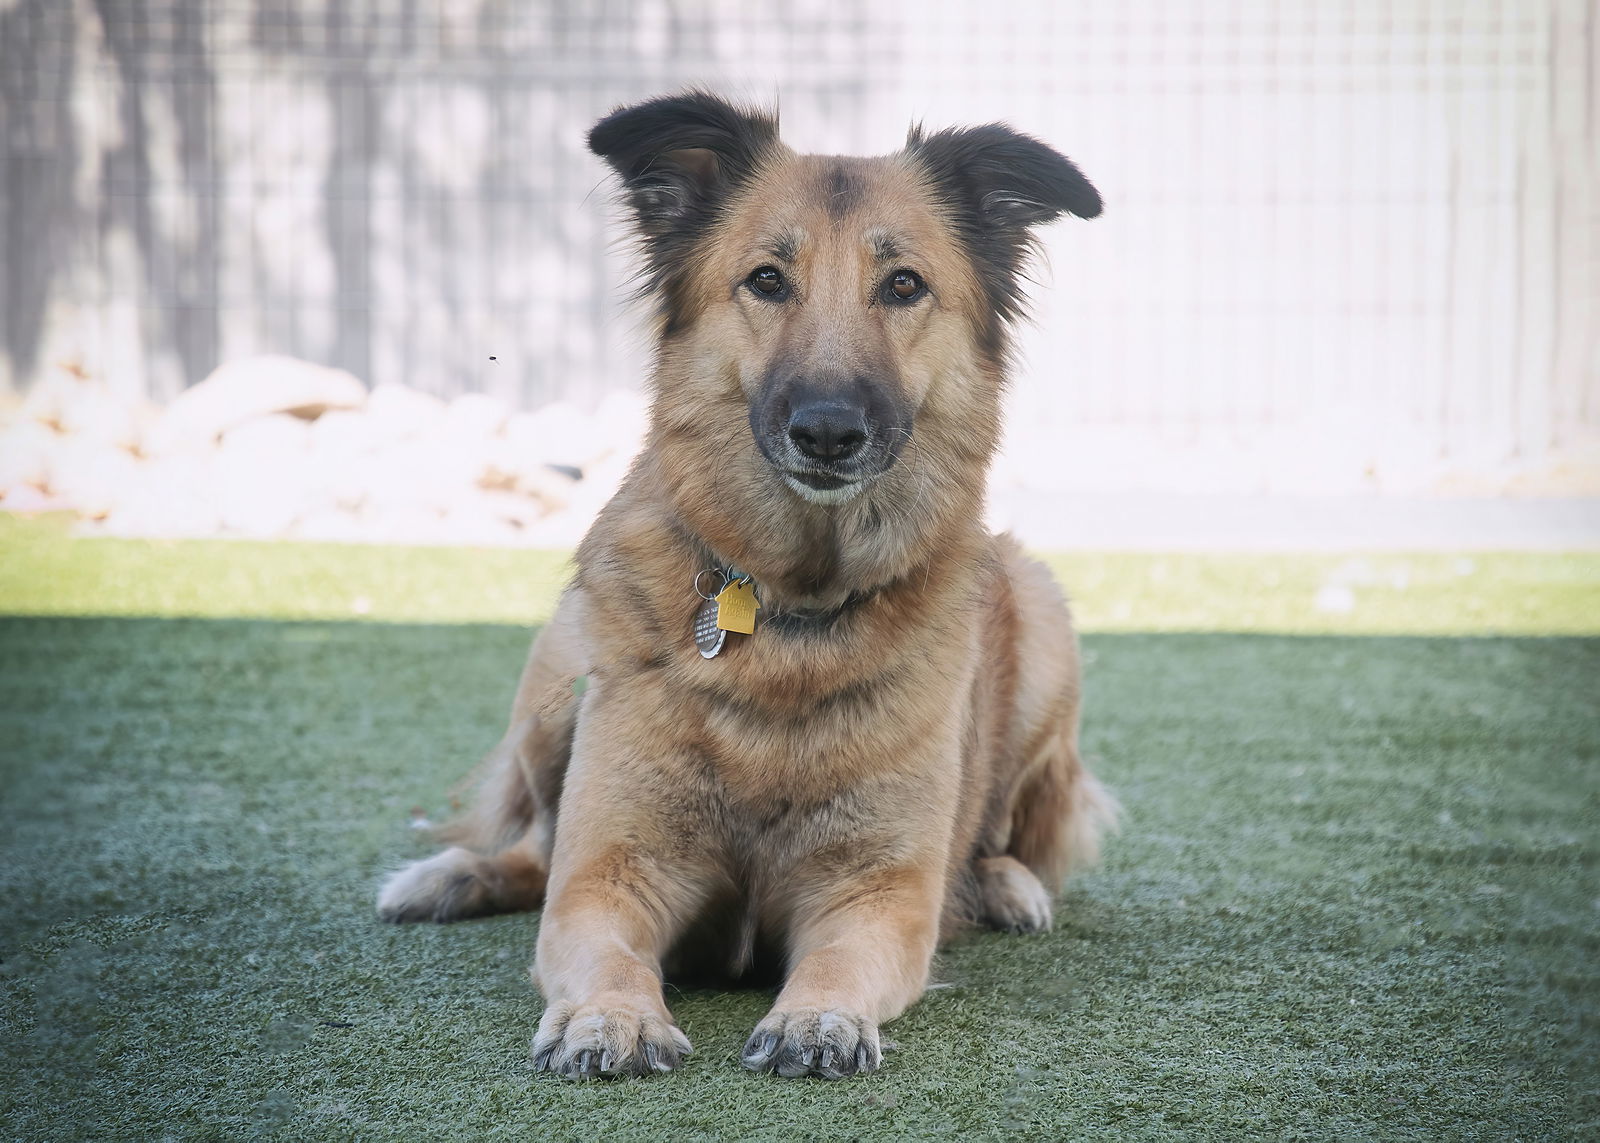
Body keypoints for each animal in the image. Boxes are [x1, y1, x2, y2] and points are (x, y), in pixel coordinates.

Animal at [380, 91, 1120, 1075]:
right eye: (767, 280)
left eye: (904, 285)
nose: (829, 430)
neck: (792, 612)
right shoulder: (611, 872)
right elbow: (596, 937)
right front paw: (608, 1016)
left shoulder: (877, 894)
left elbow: (842, 958)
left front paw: (819, 1016)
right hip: (555, 675)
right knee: (532, 846)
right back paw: (445, 876)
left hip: (1043, 622)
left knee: (1005, 829)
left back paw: (1005, 884)